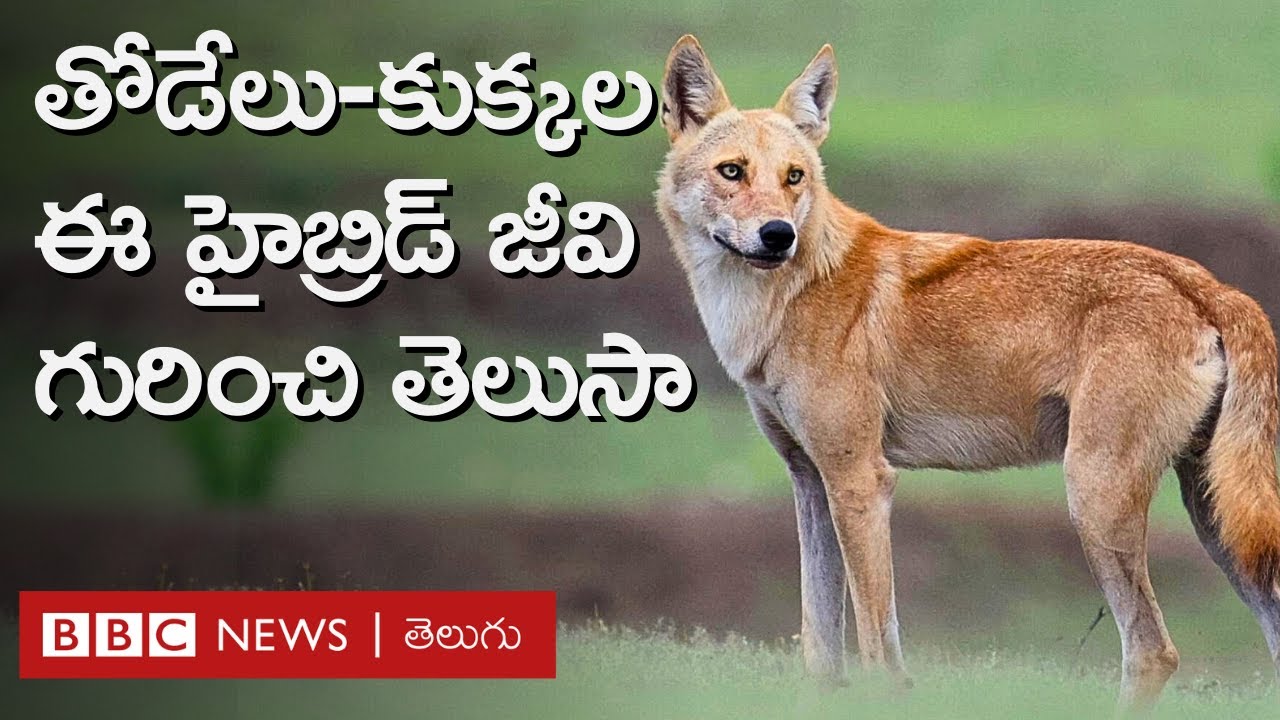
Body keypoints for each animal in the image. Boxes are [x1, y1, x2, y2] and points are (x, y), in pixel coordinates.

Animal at [654, 35, 1280, 710]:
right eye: (732, 171)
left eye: (794, 177)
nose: (778, 235)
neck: (781, 301)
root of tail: (1208, 284)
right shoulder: (811, 480)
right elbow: (819, 646)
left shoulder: (861, 481)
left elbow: (877, 647)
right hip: (1213, 520)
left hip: (1097, 497)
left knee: (1152, 651)